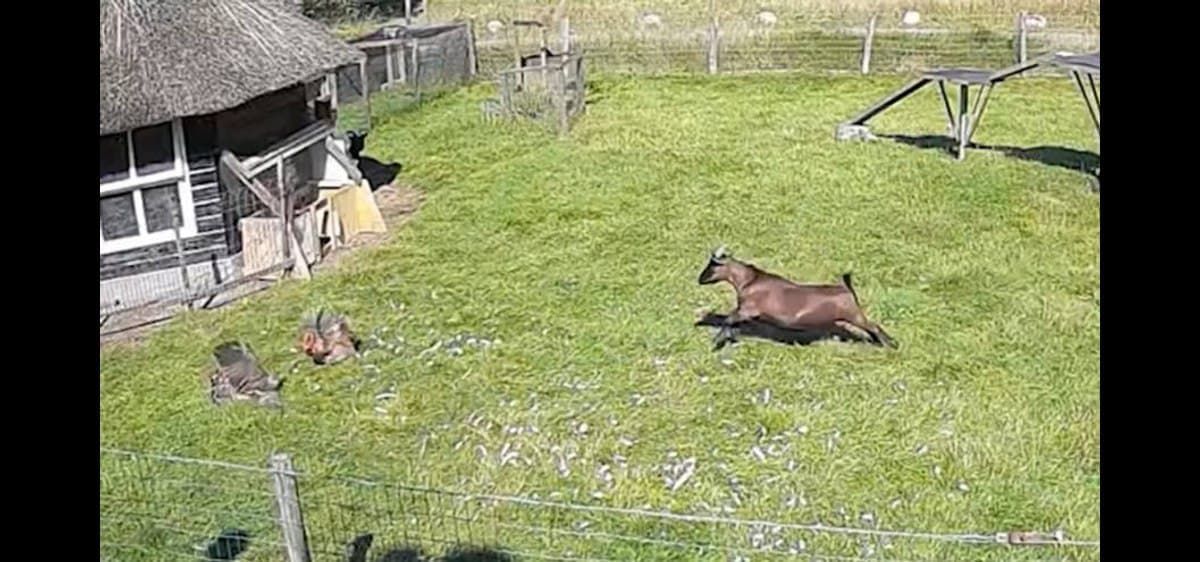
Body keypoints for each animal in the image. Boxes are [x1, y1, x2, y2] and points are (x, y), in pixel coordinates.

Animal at [696, 246, 897, 350]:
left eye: (712, 265)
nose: (700, 279)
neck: (749, 280)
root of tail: (846, 288)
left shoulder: (747, 310)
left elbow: (729, 319)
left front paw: (716, 342)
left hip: (854, 315)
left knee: (874, 326)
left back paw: (889, 344)